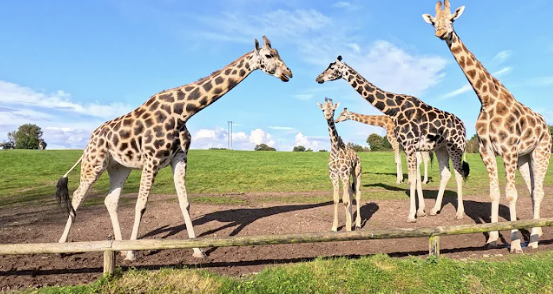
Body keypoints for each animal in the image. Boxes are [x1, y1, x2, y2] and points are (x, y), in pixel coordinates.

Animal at [53, 35, 292, 260]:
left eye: (278, 53)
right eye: (269, 55)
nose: (288, 73)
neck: (182, 112)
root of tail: (90, 139)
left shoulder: (180, 158)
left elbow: (185, 203)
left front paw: (197, 250)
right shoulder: (152, 160)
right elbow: (141, 205)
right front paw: (132, 253)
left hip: (119, 167)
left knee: (110, 200)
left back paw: (118, 246)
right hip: (94, 163)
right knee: (78, 196)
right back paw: (63, 246)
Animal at [316, 97, 360, 231]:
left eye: (334, 109)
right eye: (323, 109)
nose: (328, 115)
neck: (335, 150)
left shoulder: (344, 174)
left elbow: (345, 200)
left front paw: (348, 228)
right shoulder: (334, 175)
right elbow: (336, 199)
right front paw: (335, 227)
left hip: (356, 172)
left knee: (358, 193)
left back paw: (358, 223)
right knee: (350, 194)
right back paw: (351, 221)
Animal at [420, 0, 548, 253]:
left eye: (452, 19)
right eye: (434, 21)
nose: (440, 32)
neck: (487, 99)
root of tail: (546, 126)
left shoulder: (508, 150)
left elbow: (510, 194)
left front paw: (515, 244)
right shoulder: (486, 150)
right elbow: (494, 193)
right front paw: (492, 238)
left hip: (541, 153)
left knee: (538, 190)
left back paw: (534, 240)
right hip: (524, 158)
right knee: (532, 191)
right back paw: (534, 234)